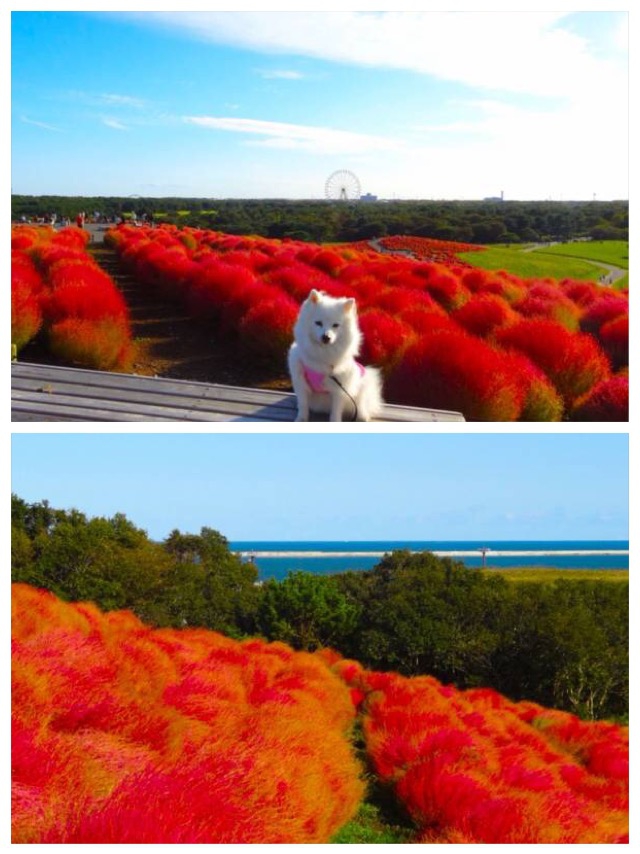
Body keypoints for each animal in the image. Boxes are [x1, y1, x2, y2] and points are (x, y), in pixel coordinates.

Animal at [288, 290, 382, 422]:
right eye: (318, 323)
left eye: (335, 325)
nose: (326, 337)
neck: (323, 354)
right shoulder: (300, 383)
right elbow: (303, 404)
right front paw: (301, 418)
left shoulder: (339, 389)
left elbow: (336, 411)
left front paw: (335, 420)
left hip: (363, 383)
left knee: (361, 403)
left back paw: (362, 416)